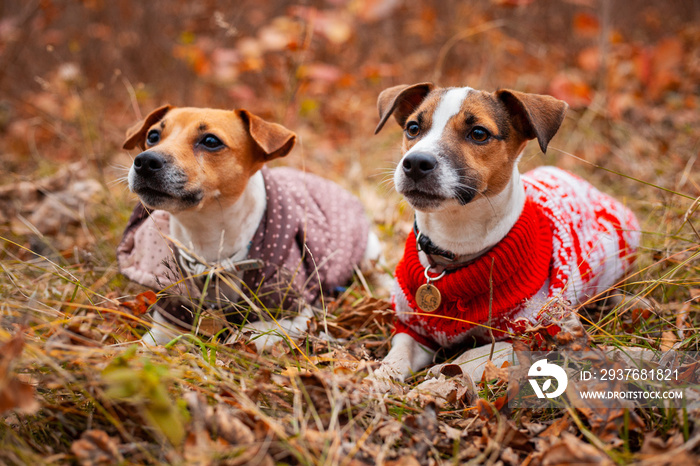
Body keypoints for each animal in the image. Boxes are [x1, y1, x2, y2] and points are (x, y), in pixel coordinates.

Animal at [117, 105, 380, 346]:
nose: (145, 161)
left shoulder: (292, 314)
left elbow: (249, 335)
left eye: (210, 141)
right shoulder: (170, 314)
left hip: (371, 255)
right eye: (152, 136)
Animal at [372, 84, 640, 390]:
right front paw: (379, 379)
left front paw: (440, 377)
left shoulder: (532, 336)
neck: (452, 250)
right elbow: (399, 352)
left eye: (478, 133)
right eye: (413, 128)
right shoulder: (413, 327)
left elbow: (475, 354)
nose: (415, 162)